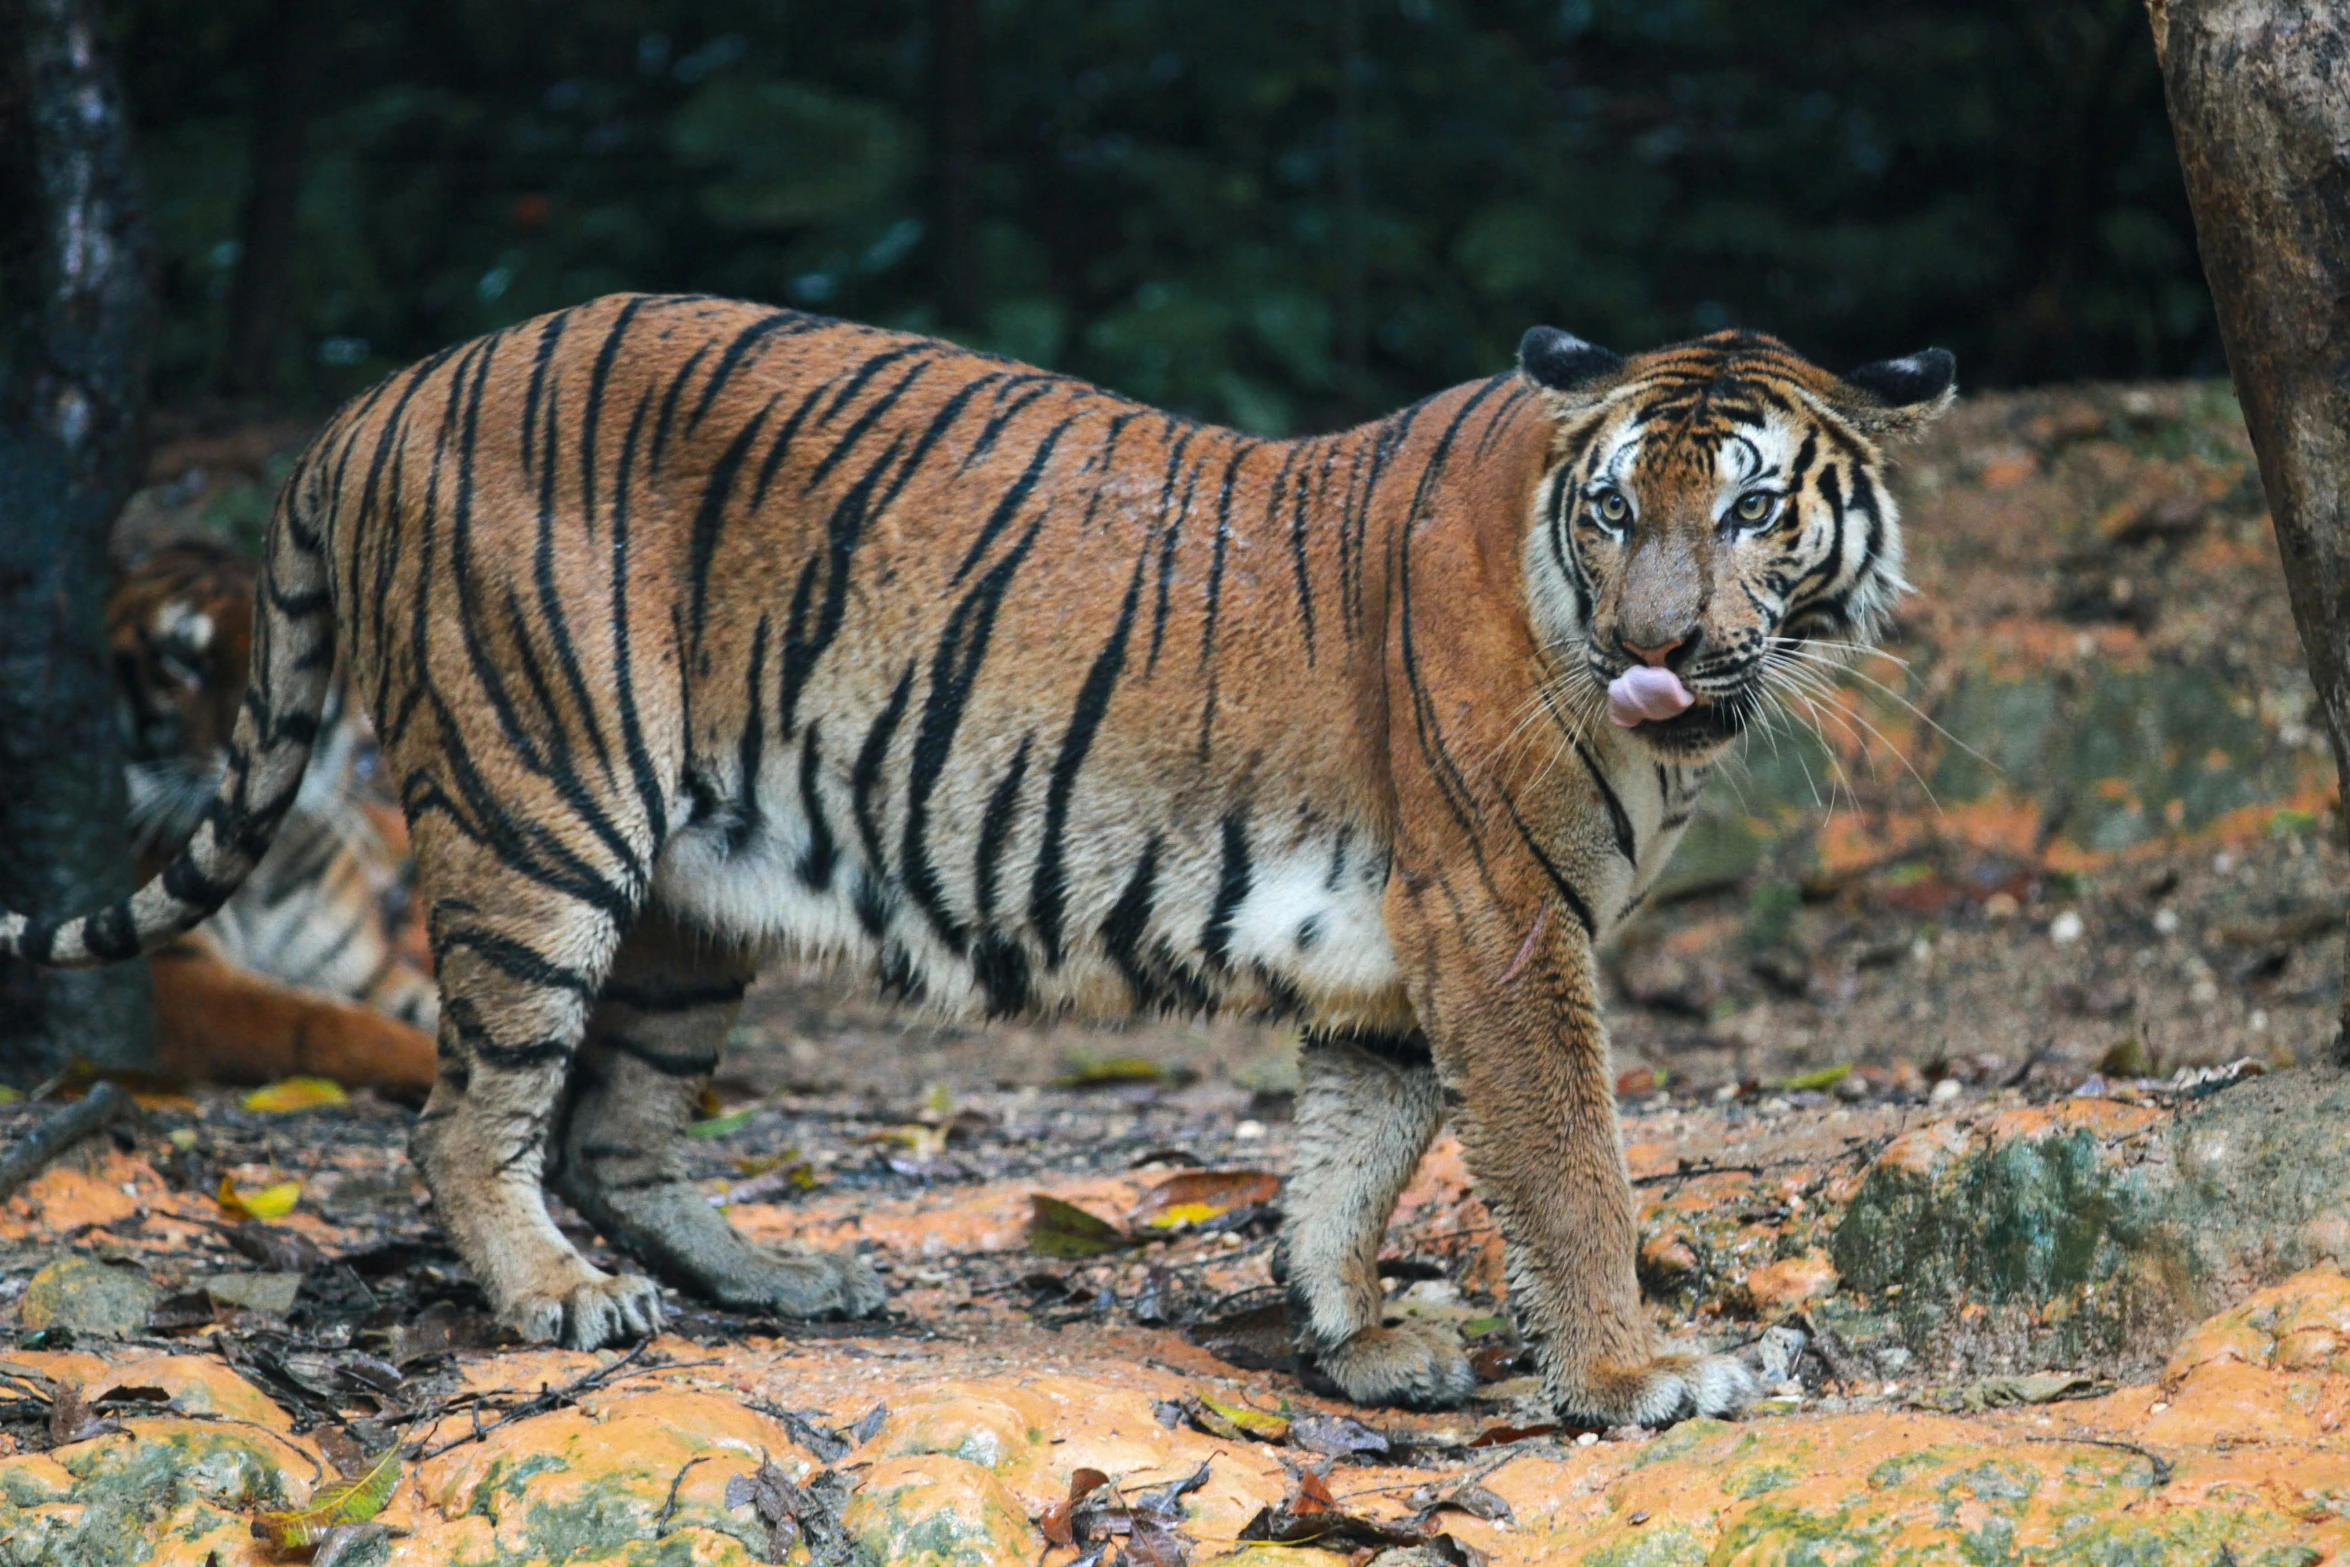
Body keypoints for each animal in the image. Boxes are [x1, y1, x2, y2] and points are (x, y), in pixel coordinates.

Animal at [105, 540, 439, 1090]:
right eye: (181, 659)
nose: (259, 748)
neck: (265, 864)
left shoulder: (365, 973)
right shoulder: (179, 982)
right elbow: (334, 1028)